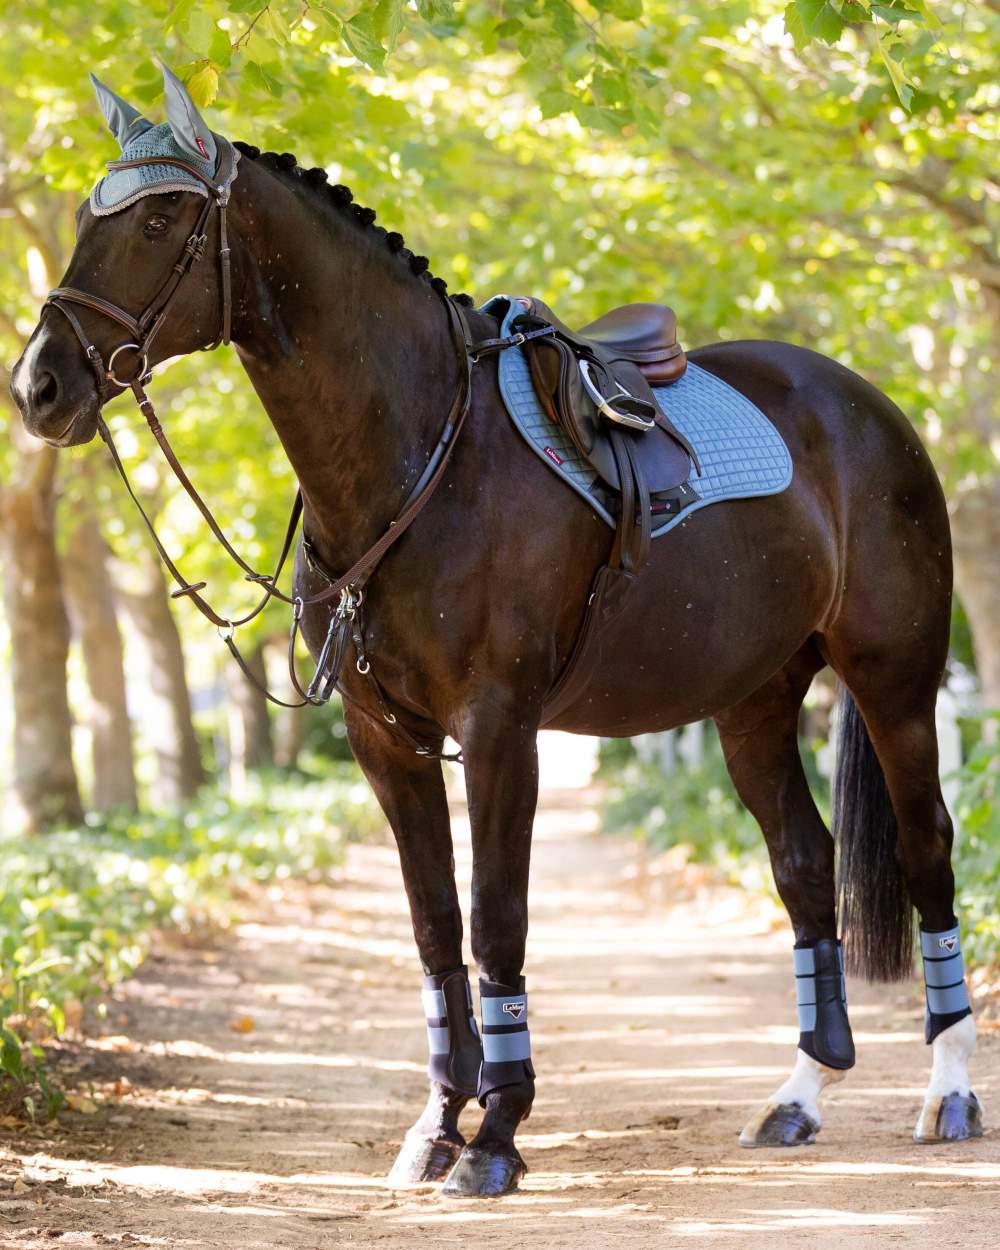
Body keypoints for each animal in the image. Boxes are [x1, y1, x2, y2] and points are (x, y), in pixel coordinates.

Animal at [11, 73, 980, 1195]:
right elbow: (435, 922)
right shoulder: (384, 740)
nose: (38, 386)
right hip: (755, 701)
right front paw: (438, 1123)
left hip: (893, 678)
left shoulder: (500, 727)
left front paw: (499, 1132)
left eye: (160, 220)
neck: (424, 451)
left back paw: (949, 1090)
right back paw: (798, 1096)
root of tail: (869, 407)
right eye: (90, 216)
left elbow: (495, 914)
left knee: (927, 847)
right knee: (804, 863)